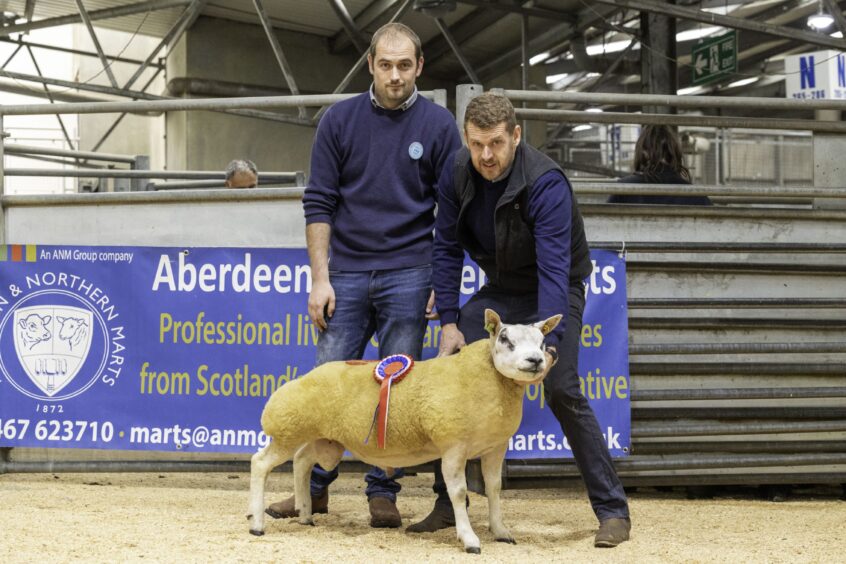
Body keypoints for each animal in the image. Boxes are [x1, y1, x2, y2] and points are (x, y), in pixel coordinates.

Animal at [247, 306, 564, 552]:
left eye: (541, 341)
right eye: (505, 339)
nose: (537, 360)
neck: (488, 380)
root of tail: (308, 375)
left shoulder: (495, 447)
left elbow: (495, 488)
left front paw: (501, 532)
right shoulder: (454, 446)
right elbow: (459, 492)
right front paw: (470, 540)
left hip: (323, 437)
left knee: (301, 462)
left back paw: (304, 514)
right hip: (289, 427)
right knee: (260, 463)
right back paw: (257, 524)